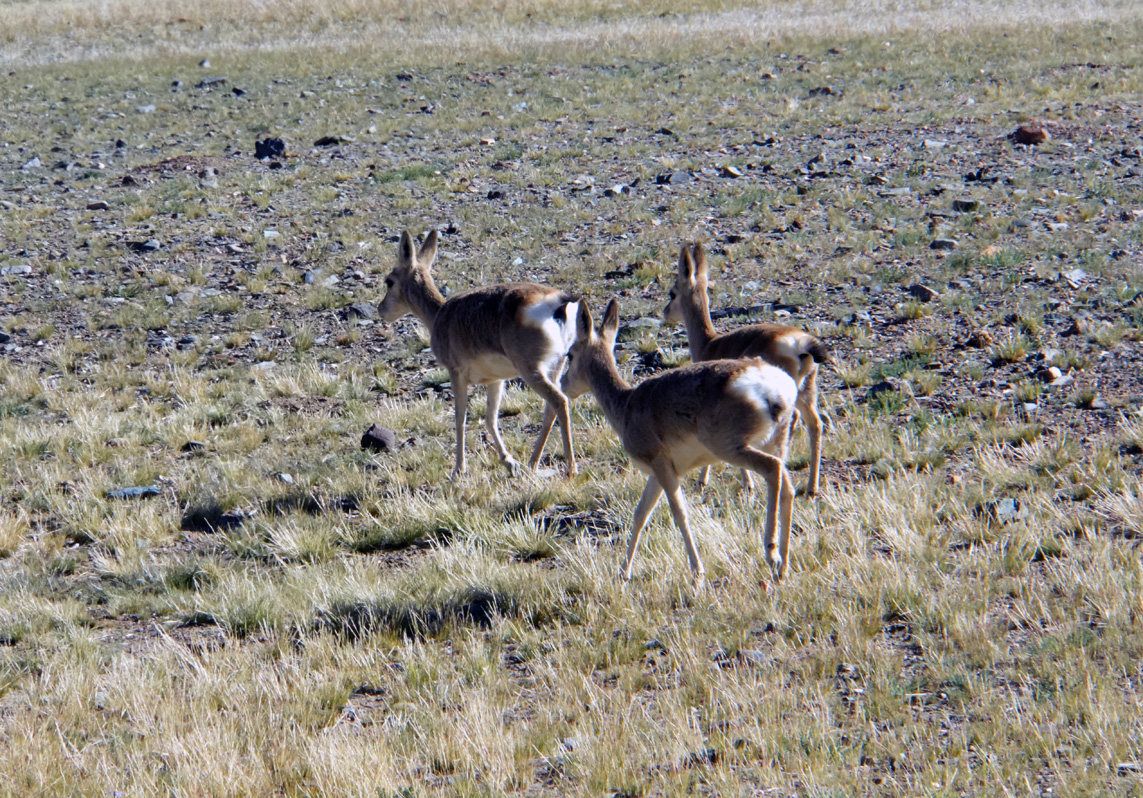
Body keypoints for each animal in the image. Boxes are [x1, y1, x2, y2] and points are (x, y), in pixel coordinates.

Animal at [378, 230, 578, 477]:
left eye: (389, 281)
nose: (381, 309)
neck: (441, 315)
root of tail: (559, 302)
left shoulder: (457, 374)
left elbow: (460, 419)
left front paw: (458, 470)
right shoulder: (496, 381)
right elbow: (490, 419)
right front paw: (509, 462)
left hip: (531, 371)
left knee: (559, 401)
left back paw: (570, 468)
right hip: (554, 367)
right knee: (551, 407)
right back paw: (532, 463)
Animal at [562, 298, 799, 588]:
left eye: (570, 354)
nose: (563, 384)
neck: (627, 404)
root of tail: (772, 385)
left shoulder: (663, 467)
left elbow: (679, 513)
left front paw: (697, 572)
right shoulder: (656, 473)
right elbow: (640, 515)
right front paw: (623, 573)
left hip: (733, 449)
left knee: (773, 471)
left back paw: (771, 553)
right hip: (774, 442)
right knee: (788, 486)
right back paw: (783, 566)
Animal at [664, 242, 829, 496]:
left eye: (672, 293)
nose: (665, 312)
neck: (710, 343)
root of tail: (801, 343)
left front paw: (712, 481)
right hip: (807, 394)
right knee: (816, 426)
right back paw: (812, 488)